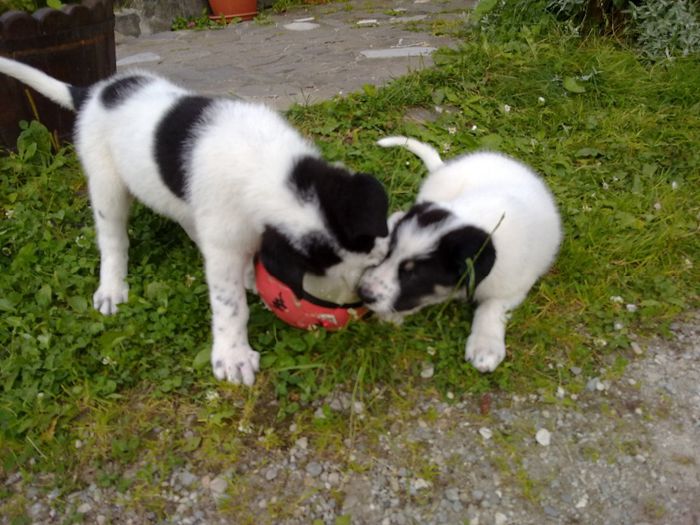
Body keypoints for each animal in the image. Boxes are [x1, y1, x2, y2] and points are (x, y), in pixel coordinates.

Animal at [0, 57, 392, 384]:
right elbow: (229, 305)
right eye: (322, 276)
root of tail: (94, 93)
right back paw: (111, 288)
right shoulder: (225, 242)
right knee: (113, 239)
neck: (269, 167)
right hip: (106, 181)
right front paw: (233, 356)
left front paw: (250, 277)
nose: (366, 295)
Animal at [360, 137, 564, 370]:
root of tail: (444, 168)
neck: (480, 220)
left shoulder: (512, 288)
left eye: (415, 274)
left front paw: (485, 348)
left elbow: (491, 308)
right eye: (389, 254)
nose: (362, 293)